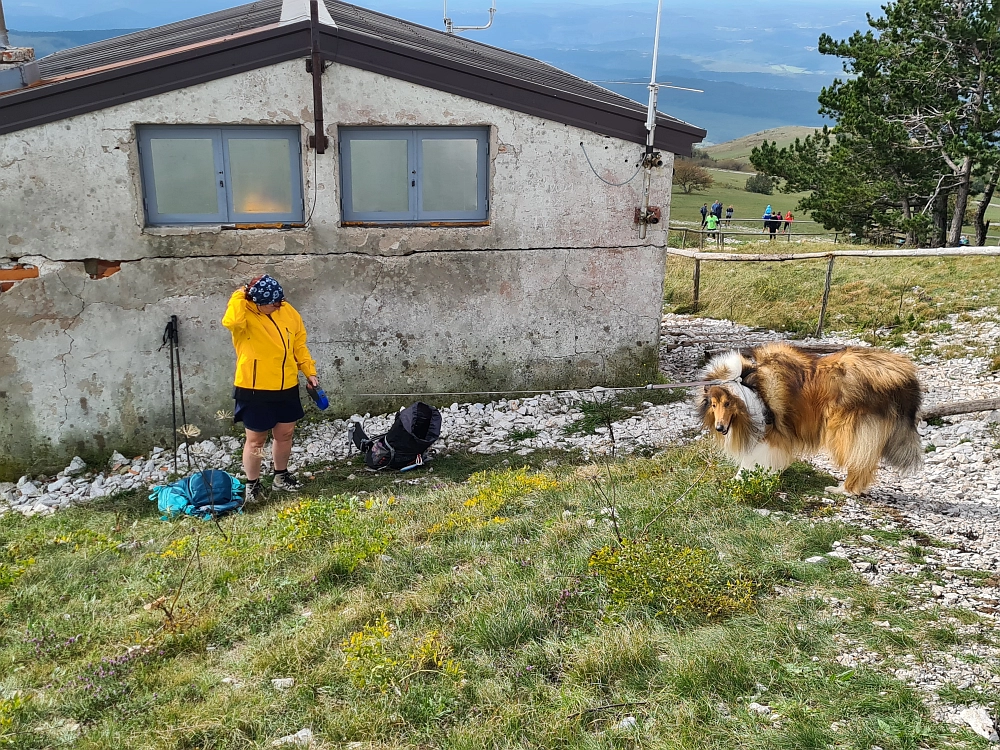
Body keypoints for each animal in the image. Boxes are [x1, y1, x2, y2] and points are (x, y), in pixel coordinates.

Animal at [696, 344, 920, 496]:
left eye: (727, 403)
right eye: (713, 405)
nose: (719, 427)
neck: (750, 388)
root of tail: (899, 375)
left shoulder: (769, 433)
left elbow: (750, 460)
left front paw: (740, 480)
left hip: (848, 430)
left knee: (860, 463)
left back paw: (845, 489)